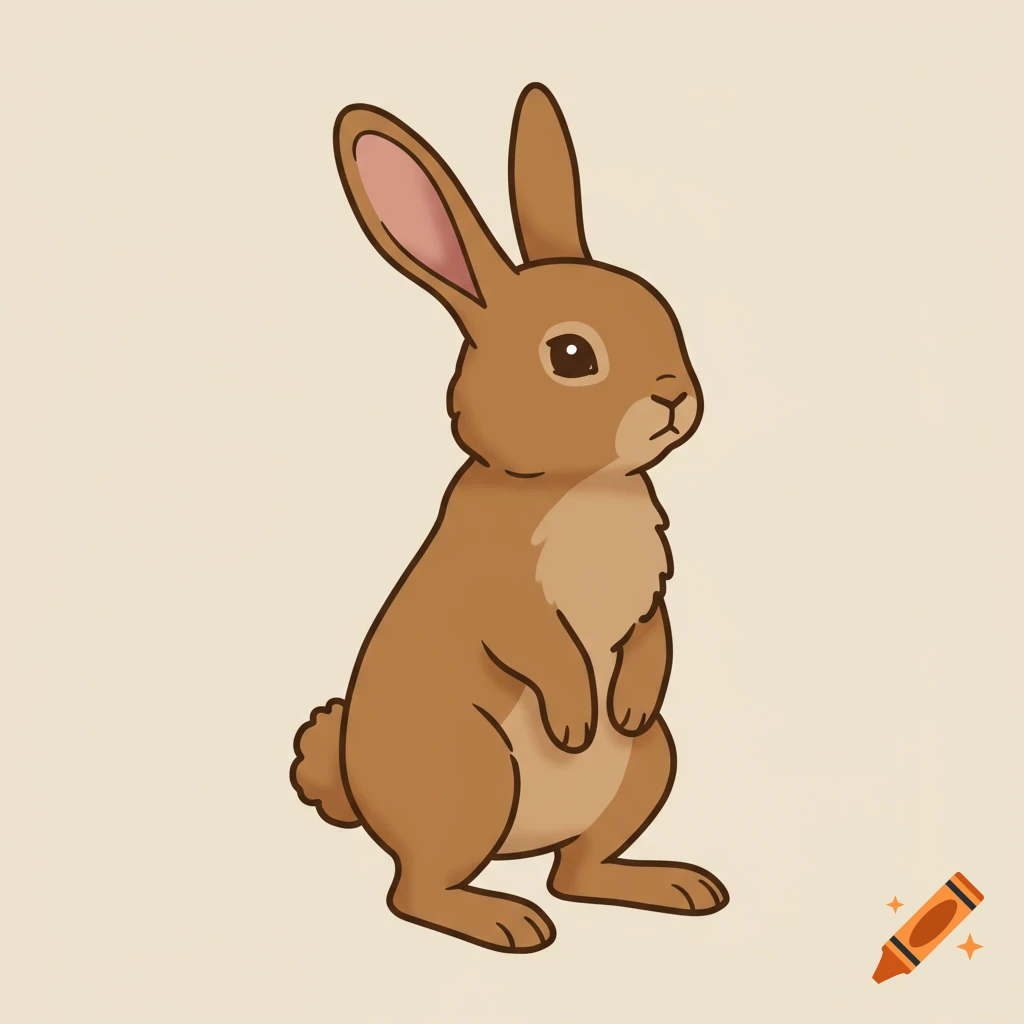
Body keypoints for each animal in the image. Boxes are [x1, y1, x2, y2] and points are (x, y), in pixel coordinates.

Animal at [290, 82, 729, 954]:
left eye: (662, 313)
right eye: (571, 356)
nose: (676, 398)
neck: (581, 484)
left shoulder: (650, 598)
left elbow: (651, 640)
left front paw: (625, 705)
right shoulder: (500, 594)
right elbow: (539, 647)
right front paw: (575, 723)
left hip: (648, 765)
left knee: (577, 874)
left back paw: (672, 884)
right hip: (473, 771)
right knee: (416, 892)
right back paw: (505, 920)